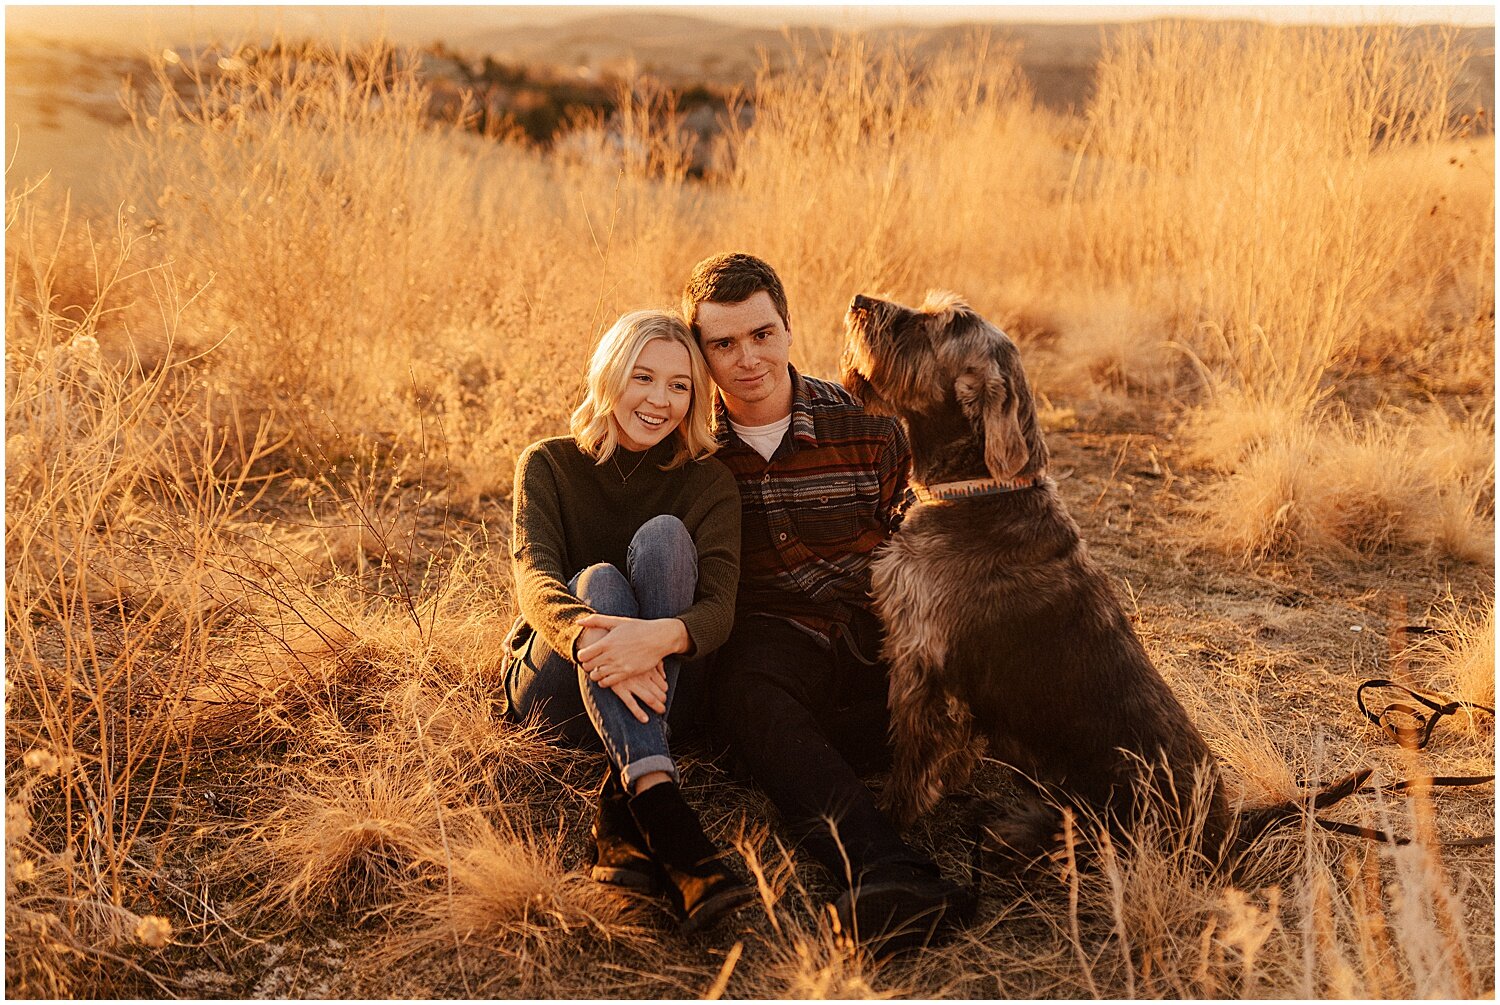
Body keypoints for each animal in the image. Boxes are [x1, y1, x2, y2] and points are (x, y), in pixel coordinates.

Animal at [846, 291, 1230, 864]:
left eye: (937, 325)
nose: (858, 302)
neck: (979, 492)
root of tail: (1227, 833)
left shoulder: (920, 664)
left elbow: (912, 758)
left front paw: (892, 814)